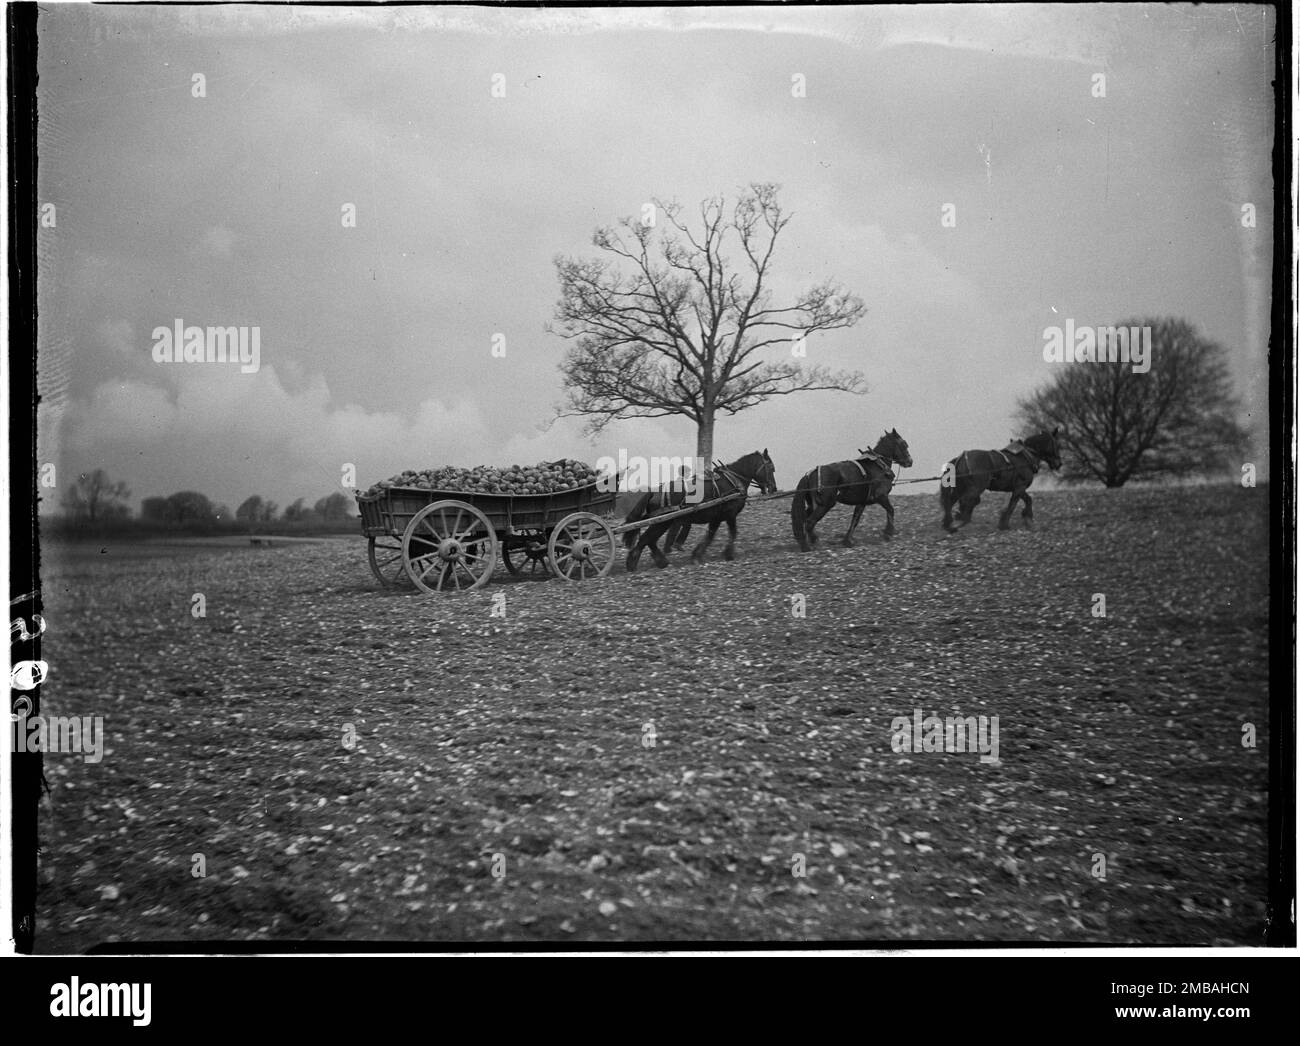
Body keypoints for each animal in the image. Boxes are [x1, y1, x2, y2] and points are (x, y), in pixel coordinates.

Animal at [624, 444, 774, 566]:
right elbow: (732, 533)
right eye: (772, 468)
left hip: (664, 522)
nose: (774, 488)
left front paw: (697, 556)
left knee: (650, 540)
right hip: (662, 521)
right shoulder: (730, 515)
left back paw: (661, 561)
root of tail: (655, 491)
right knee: (646, 539)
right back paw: (634, 562)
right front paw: (728, 554)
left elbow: (710, 536)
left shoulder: (717, 518)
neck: (733, 480)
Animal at [785, 426, 909, 556]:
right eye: (904, 444)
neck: (879, 466)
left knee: (805, 520)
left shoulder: (862, 502)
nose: (910, 461)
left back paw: (810, 540)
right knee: (809, 522)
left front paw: (847, 541)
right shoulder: (881, 496)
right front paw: (888, 533)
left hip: (814, 504)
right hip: (825, 504)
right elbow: (891, 510)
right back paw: (808, 545)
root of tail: (810, 473)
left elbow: (855, 520)